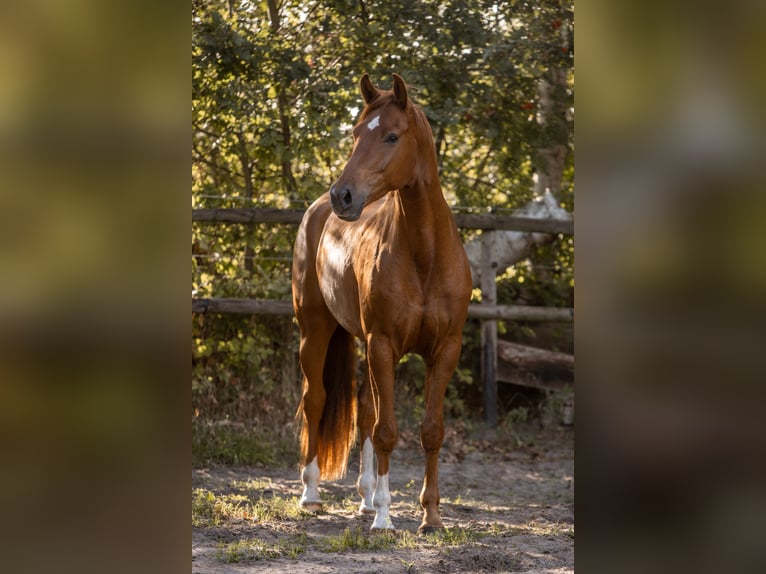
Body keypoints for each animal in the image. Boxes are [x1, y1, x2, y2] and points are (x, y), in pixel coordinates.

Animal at [291, 73, 472, 533]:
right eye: (356, 133)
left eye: (391, 136)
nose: (343, 196)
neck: (425, 256)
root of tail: (316, 209)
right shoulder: (383, 344)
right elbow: (388, 429)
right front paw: (386, 520)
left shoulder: (445, 350)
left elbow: (430, 430)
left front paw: (431, 516)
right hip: (315, 331)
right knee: (316, 400)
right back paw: (312, 494)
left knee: (365, 411)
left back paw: (366, 498)